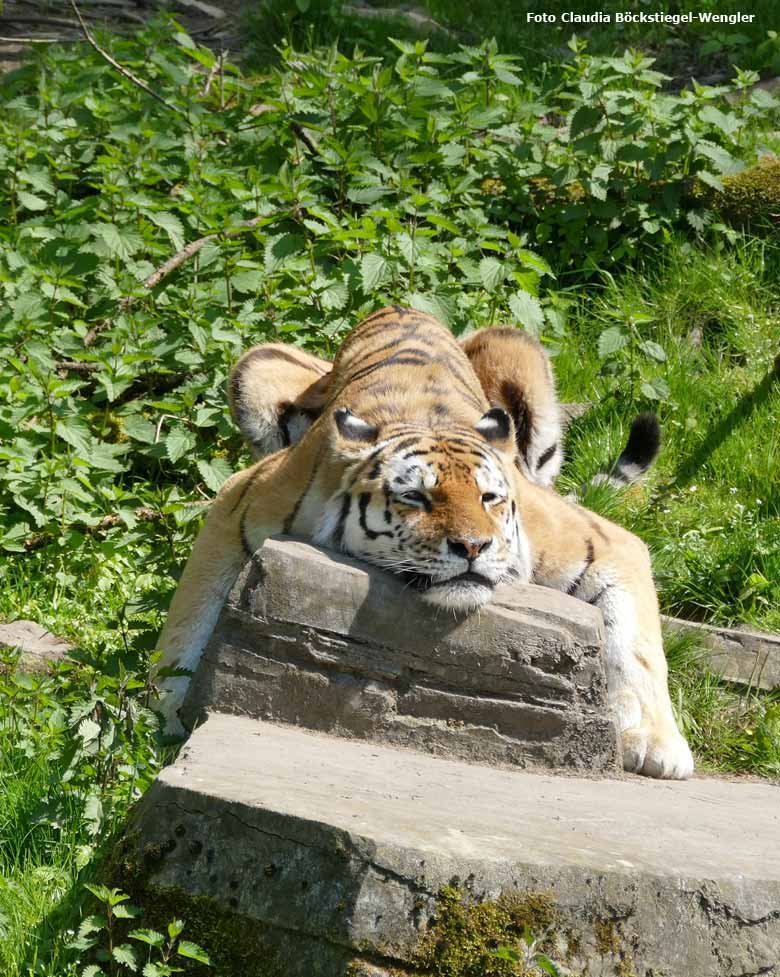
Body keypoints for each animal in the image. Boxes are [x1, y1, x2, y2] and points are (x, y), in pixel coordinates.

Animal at [155, 304, 692, 776]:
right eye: (415, 496)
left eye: (489, 498)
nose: (473, 547)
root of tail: (400, 305)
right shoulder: (241, 502)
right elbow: (188, 622)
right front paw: (160, 723)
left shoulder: (601, 541)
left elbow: (638, 649)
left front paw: (656, 746)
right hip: (257, 364)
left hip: (515, 349)